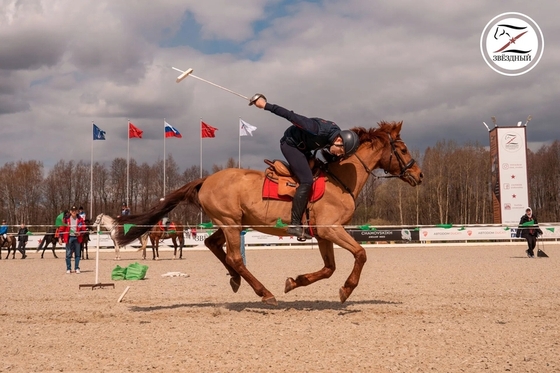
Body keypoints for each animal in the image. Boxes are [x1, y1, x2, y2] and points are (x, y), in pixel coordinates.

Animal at [114, 123, 422, 306]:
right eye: (403, 149)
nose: (419, 175)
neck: (340, 179)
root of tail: (206, 179)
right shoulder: (331, 229)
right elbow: (361, 254)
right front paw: (346, 290)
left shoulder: (323, 234)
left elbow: (328, 268)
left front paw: (294, 282)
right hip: (231, 224)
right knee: (235, 258)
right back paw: (264, 293)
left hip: (232, 223)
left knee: (213, 245)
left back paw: (236, 281)